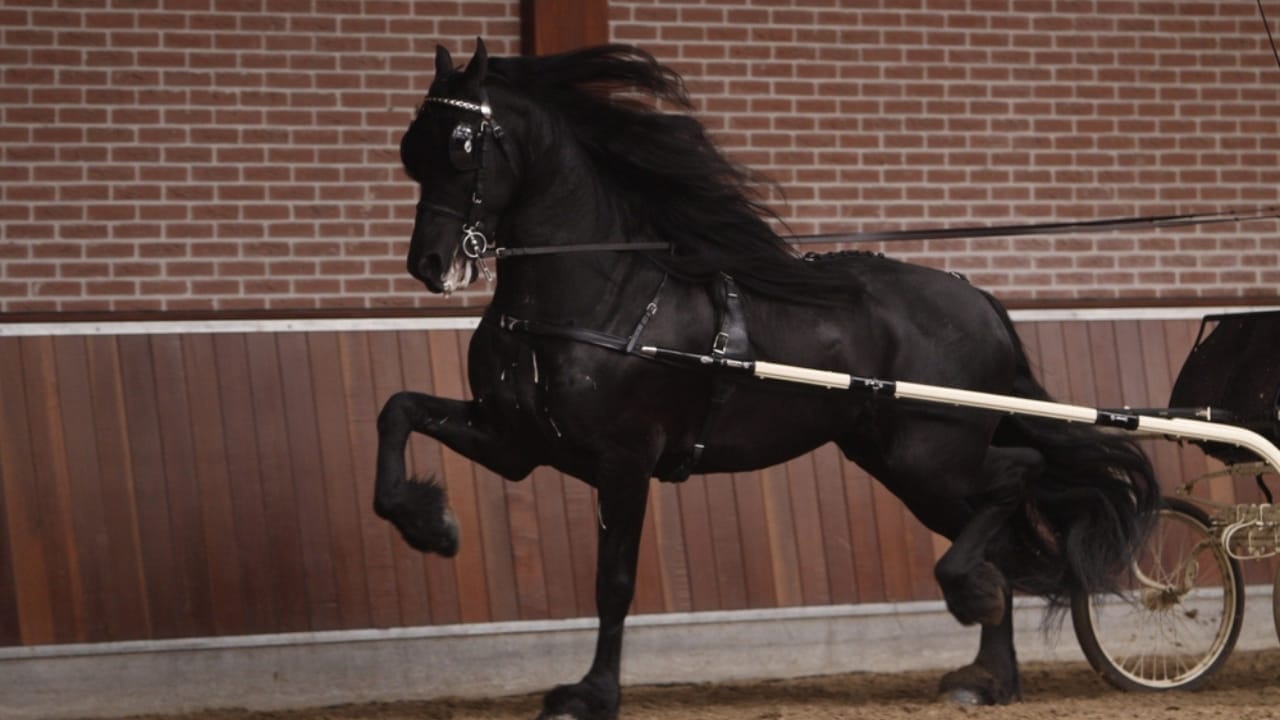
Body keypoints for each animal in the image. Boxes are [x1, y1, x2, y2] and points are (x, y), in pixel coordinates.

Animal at [374, 40, 1158, 719]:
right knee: (998, 530)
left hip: (930, 456)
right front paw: (430, 523)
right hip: (903, 466)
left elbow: (614, 581)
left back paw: (975, 605)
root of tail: (982, 301)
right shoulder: (516, 442)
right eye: (413, 147)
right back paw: (989, 671)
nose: (430, 263)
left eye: (462, 144)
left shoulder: (623, 461)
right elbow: (397, 411)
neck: (598, 296)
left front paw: (592, 694)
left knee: (1019, 474)